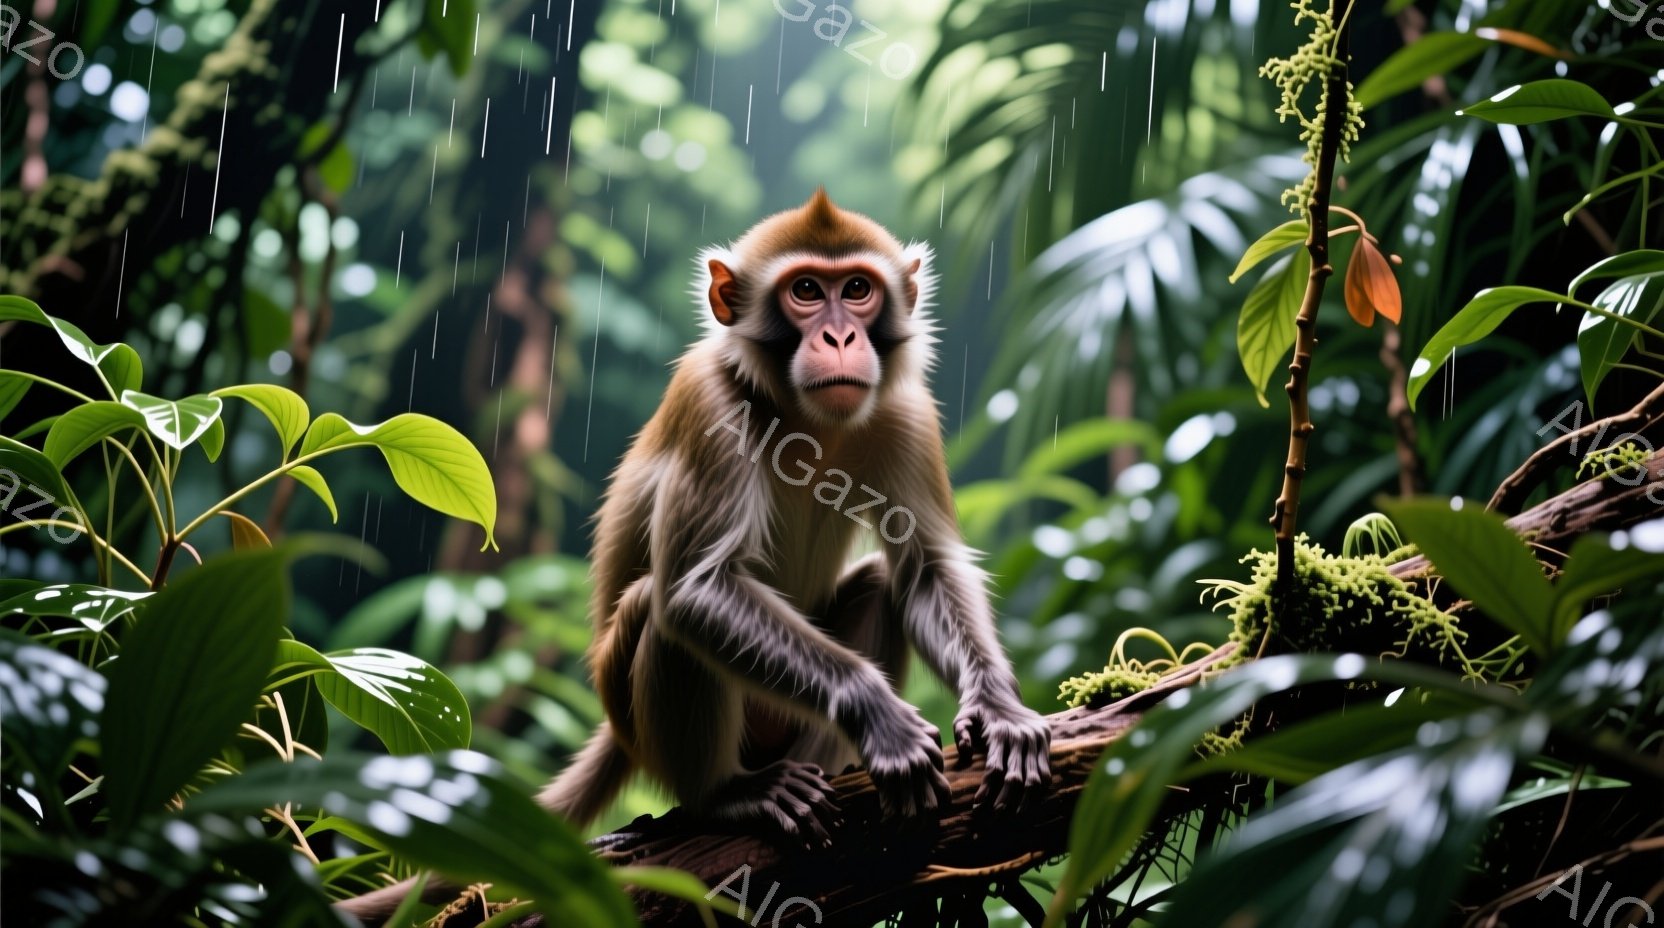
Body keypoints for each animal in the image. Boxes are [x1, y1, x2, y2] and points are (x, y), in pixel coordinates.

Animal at [341, 189, 1050, 925]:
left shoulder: (907, 410)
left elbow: (926, 566)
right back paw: (729, 796)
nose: (839, 338)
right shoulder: (710, 402)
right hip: (638, 715)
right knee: (661, 613)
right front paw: (877, 712)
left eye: (857, 290)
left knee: (880, 585)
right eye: (805, 291)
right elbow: (695, 591)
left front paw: (998, 708)